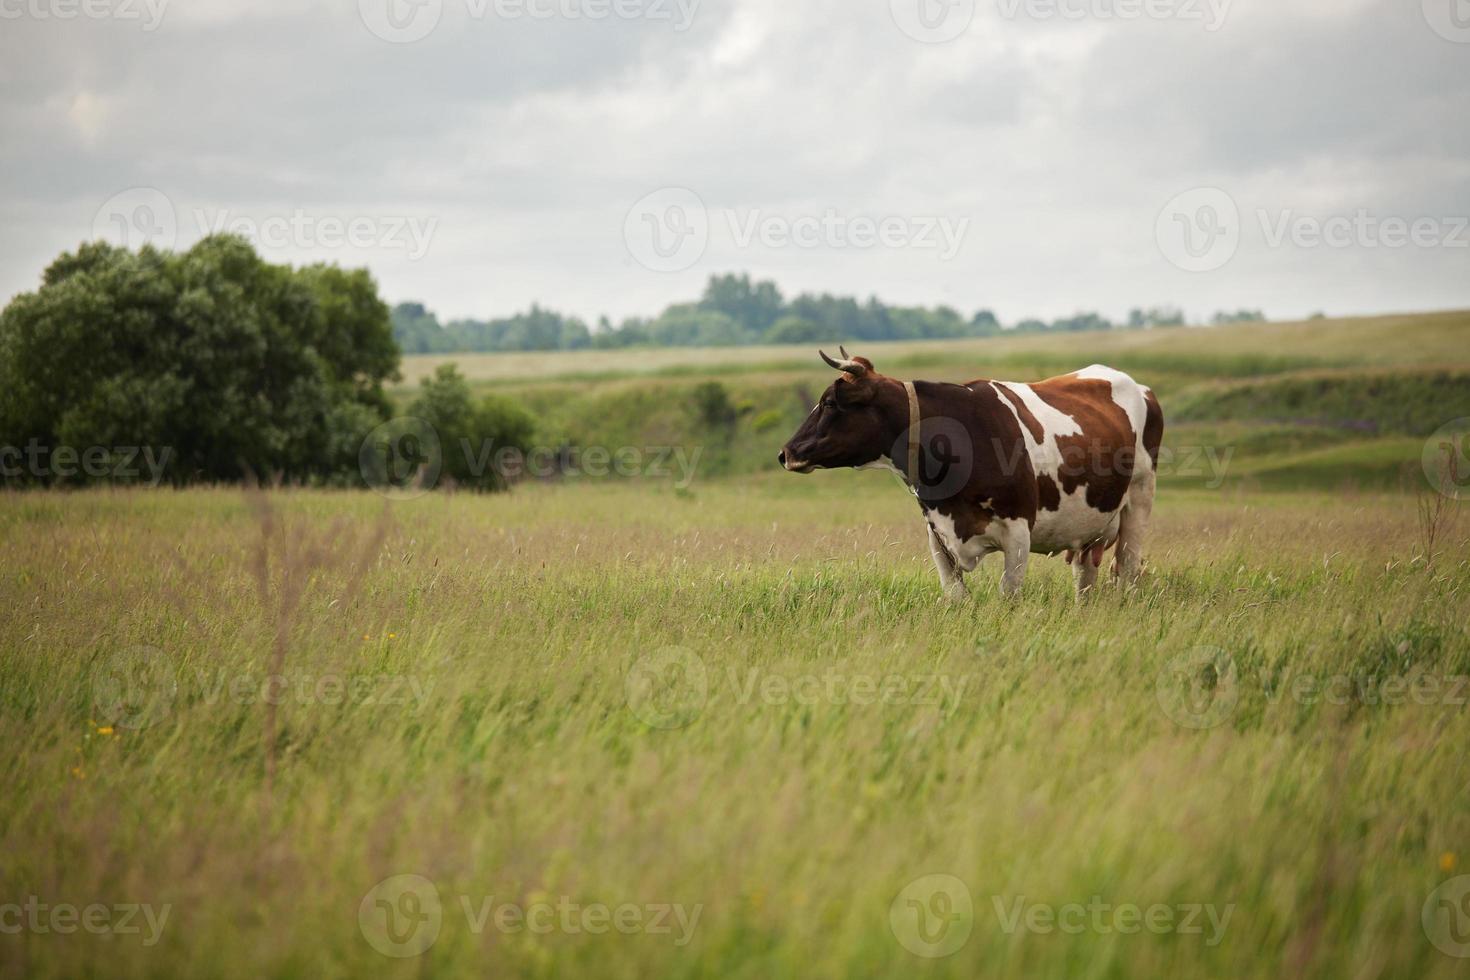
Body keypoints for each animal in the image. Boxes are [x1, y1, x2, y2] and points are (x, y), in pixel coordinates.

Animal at [776, 348, 1164, 602]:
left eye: (830, 402)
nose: (786, 453)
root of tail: (1138, 385)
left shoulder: (1019, 530)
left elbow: (1008, 596)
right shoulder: (937, 534)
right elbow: (957, 597)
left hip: (1139, 501)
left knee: (1128, 567)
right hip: (1090, 529)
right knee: (1085, 577)